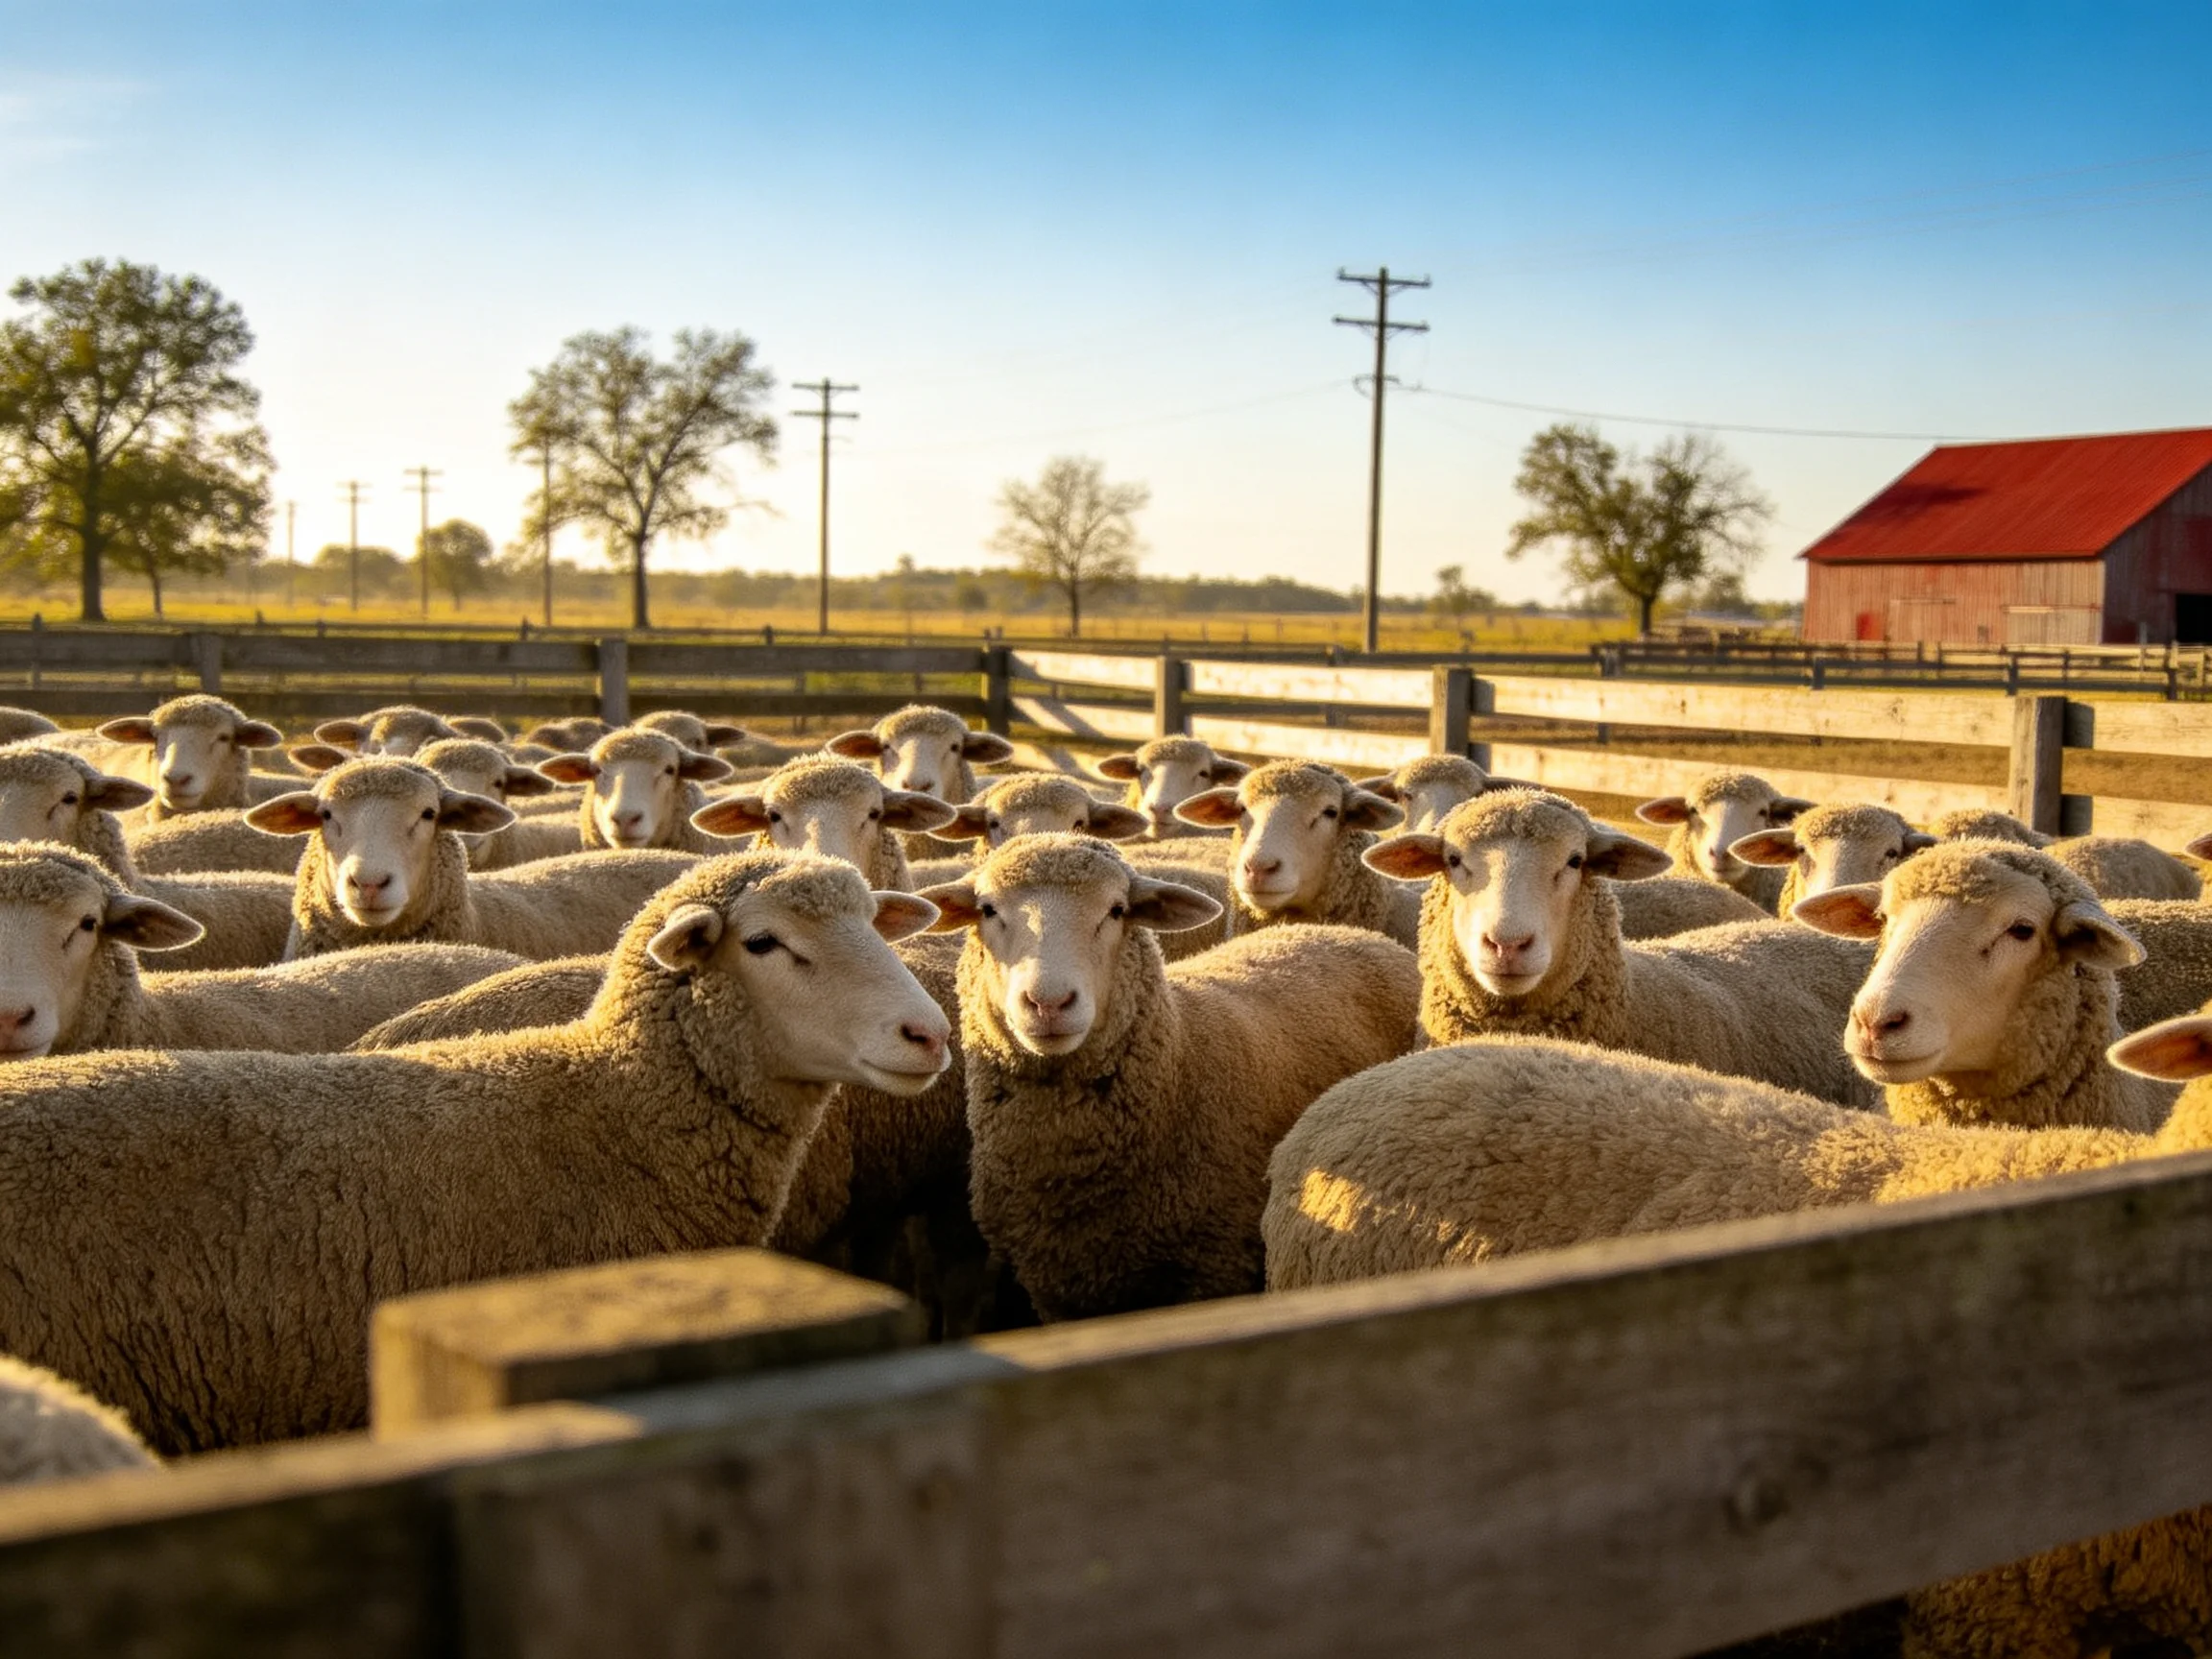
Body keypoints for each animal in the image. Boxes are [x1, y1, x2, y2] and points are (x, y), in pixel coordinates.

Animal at [916, 833, 1421, 1321]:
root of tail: (1348, 932)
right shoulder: (1056, 1290)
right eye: (987, 909)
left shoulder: (1213, 1268)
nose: (1049, 1003)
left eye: (1117, 910)